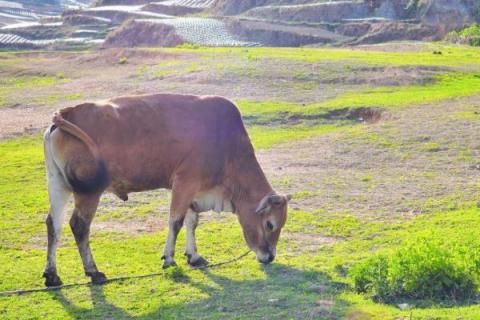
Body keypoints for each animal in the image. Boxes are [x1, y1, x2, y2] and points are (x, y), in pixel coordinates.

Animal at [42, 94, 288, 286]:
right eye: (270, 224)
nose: (270, 257)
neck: (226, 145)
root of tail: (66, 114)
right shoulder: (184, 182)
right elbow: (176, 222)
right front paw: (169, 259)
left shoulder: (192, 192)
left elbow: (192, 222)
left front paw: (194, 256)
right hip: (89, 192)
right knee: (79, 225)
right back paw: (93, 271)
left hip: (57, 185)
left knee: (54, 224)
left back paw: (52, 275)